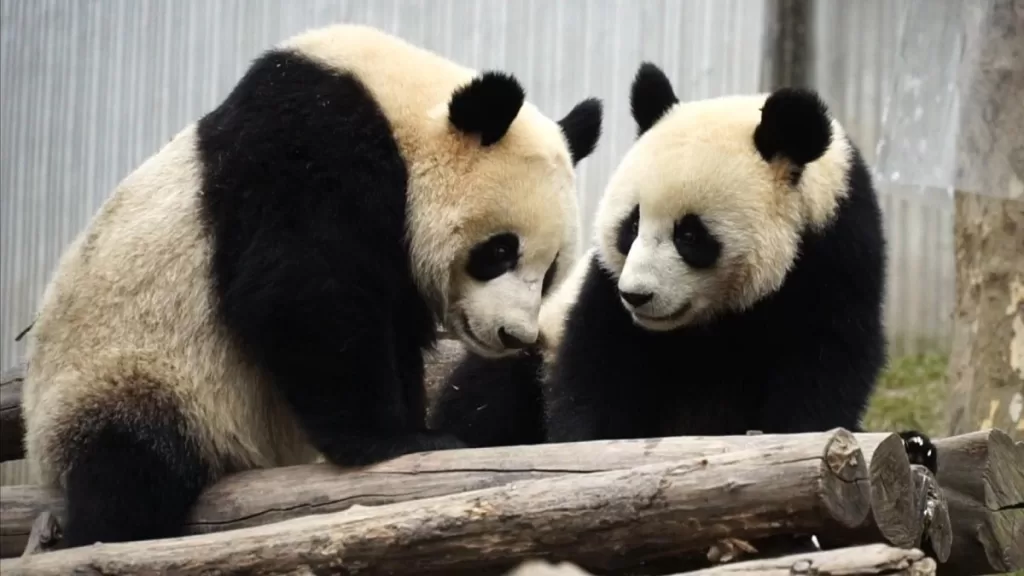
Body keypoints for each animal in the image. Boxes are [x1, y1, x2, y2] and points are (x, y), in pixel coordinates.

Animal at [20, 24, 603, 548]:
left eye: (551, 269)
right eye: (500, 251)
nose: (514, 336)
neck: (400, 112)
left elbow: (389, 326)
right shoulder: (308, 145)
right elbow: (303, 292)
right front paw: (397, 440)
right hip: (129, 374)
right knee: (131, 468)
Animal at [430, 62, 936, 473]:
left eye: (690, 235)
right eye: (631, 225)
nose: (637, 295)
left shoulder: (836, 259)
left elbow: (826, 364)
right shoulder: (605, 293)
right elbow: (598, 366)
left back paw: (917, 445)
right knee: (492, 393)